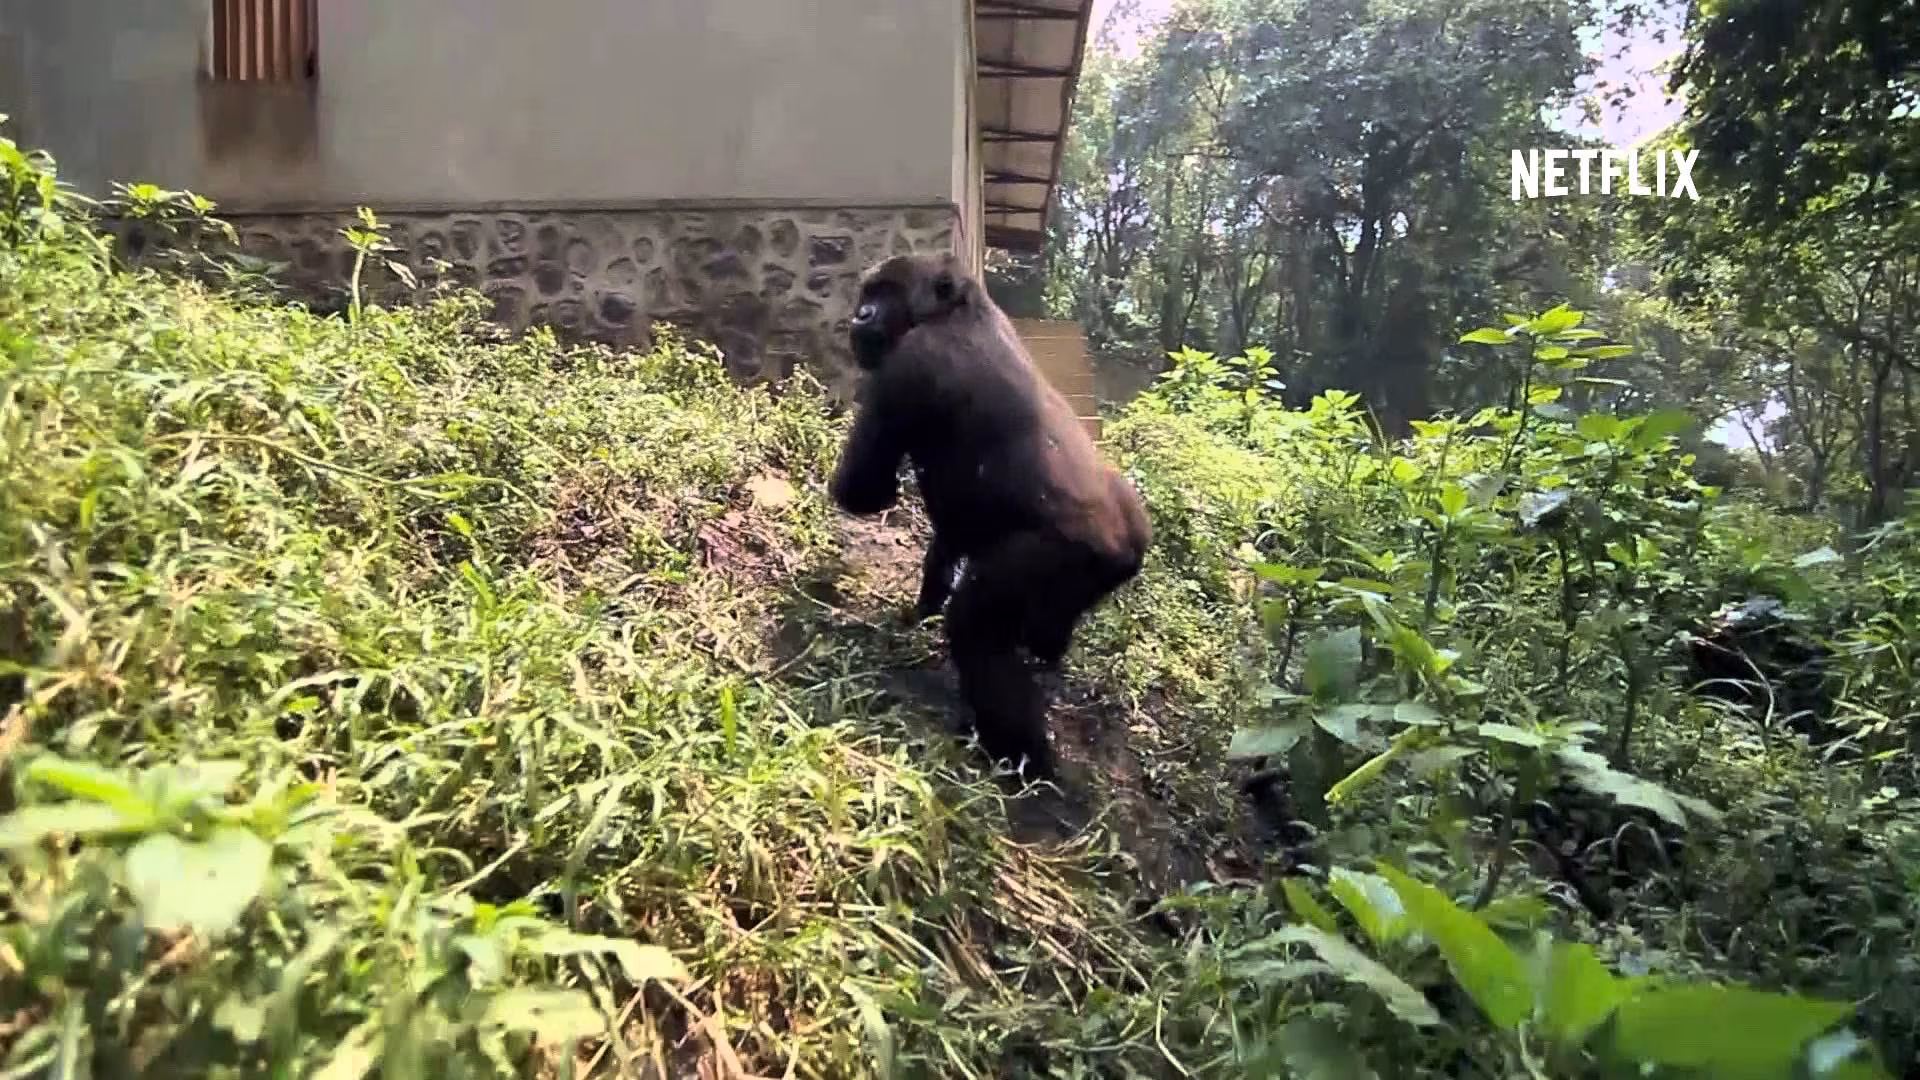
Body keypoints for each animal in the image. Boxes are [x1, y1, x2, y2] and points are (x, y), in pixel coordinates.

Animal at [828, 252, 1152, 780]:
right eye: (868, 293)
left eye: (886, 294)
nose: (860, 316)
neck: (959, 310)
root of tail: (1130, 545)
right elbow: (948, 538)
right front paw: (918, 612)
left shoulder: (909, 363)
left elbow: (863, 490)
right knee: (1044, 628)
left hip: (1064, 555)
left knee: (975, 625)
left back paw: (1021, 757)